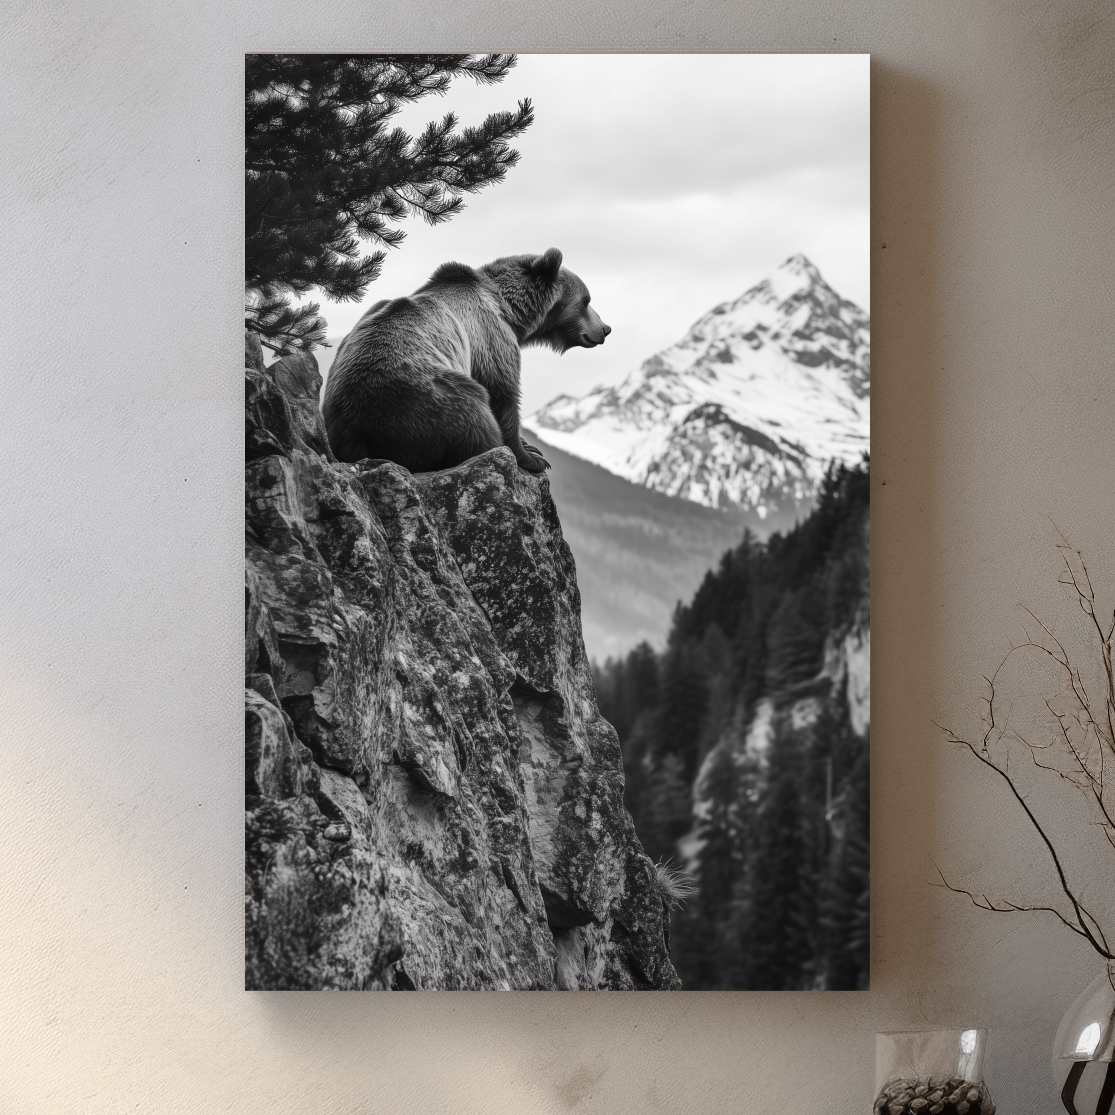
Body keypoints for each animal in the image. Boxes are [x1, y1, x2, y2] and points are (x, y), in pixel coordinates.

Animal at [321, 248, 610, 474]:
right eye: (586, 301)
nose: (605, 329)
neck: (510, 311)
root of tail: (357, 433)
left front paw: (530, 447)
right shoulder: (490, 336)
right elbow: (503, 393)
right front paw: (532, 456)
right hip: (426, 399)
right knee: (474, 416)